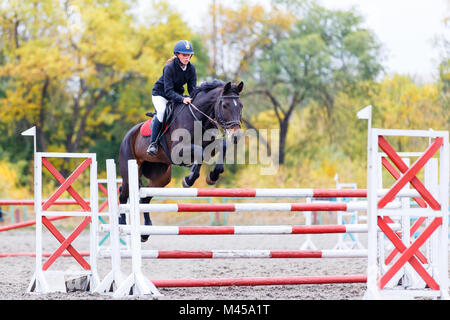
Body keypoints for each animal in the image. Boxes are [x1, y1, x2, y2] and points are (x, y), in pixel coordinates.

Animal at [116, 79, 243, 240]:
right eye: (225, 105)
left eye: (241, 106)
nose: (236, 135)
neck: (199, 119)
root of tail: (127, 136)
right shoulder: (179, 151)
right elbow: (200, 153)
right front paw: (189, 178)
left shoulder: (210, 145)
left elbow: (222, 146)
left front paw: (212, 176)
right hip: (129, 170)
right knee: (123, 193)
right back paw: (122, 223)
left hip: (161, 177)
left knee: (144, 198)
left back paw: (145, 231)